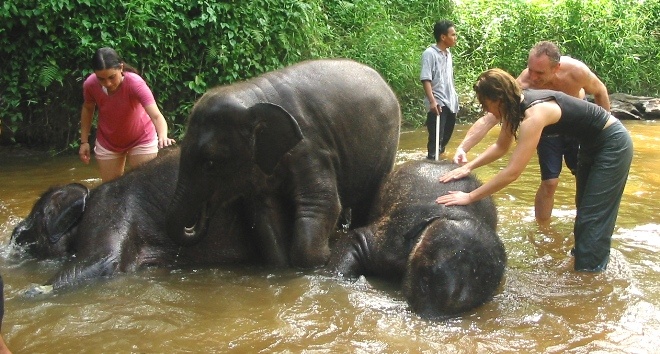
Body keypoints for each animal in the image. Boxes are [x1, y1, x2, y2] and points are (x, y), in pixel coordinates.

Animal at [168, 58, 400, 268]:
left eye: (210, 164)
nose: (198, 218)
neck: (251, 99)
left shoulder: (310, 147)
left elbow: (322, 202)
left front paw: (321, 260)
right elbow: (266, 216)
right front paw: (282, 266)